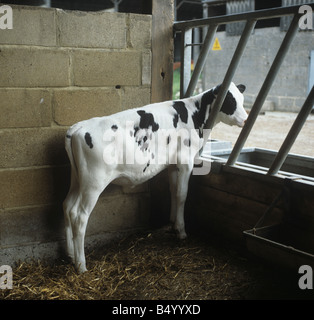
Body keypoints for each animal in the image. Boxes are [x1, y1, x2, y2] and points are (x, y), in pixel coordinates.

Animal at [62, 82, 247, 272]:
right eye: (230, 101)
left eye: (242, 99)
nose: (246, 119)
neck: (194, 114)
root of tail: (78, 128)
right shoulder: (185, 160)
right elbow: (182, 195)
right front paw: (181, 231)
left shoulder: (172, 164)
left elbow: (174, 191)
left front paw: (173, 222)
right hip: (93, 183)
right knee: (79, 215)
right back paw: (81, 265)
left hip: (77, 180)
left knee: (67, 207)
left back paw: (70, 254)